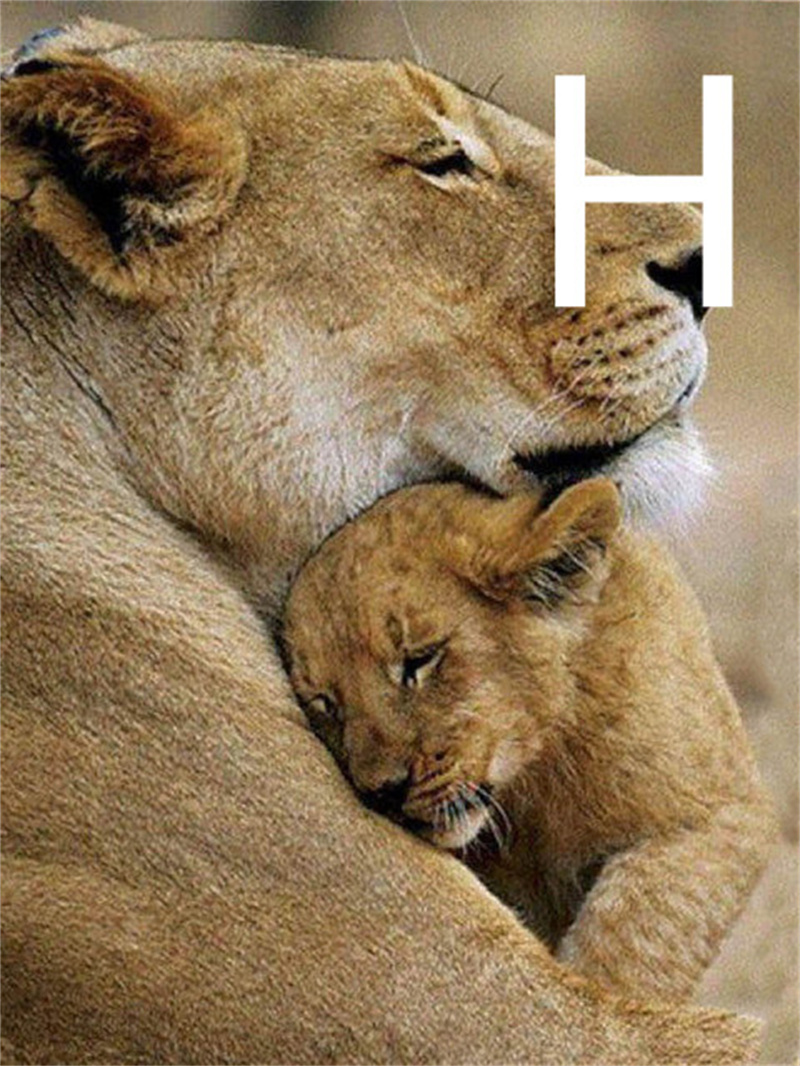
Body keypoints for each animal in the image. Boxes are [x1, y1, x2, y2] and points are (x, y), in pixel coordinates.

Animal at [282, 477, 776, 1006]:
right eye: (325, 702)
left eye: (420, 659)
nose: (383, 792)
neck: (534, 782)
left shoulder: (721, 812)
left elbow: (636, 930)